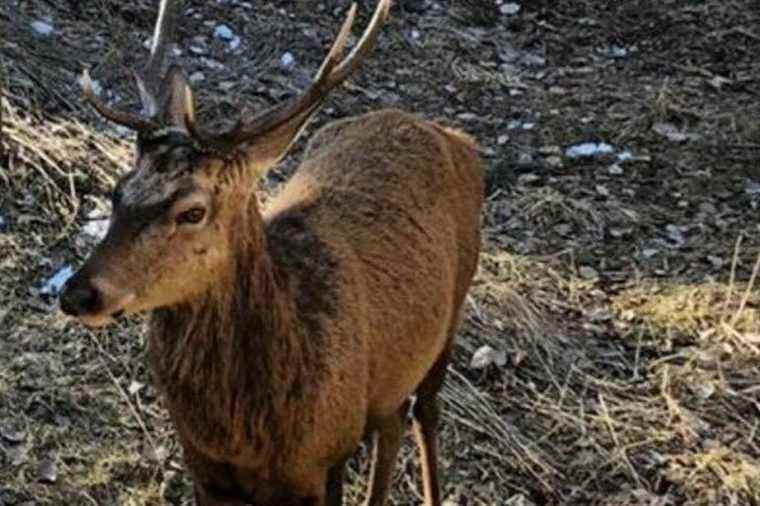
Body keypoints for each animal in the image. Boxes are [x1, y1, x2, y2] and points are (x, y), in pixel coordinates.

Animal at [60, 0, 486, 504]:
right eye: (118, 191)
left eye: (192, 211)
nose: (78, 293)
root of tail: (457, 138)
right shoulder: (204, 469)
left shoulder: (324, 460)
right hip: (389, 377)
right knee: (394, 418)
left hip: (454, 310)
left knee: (426, 411)